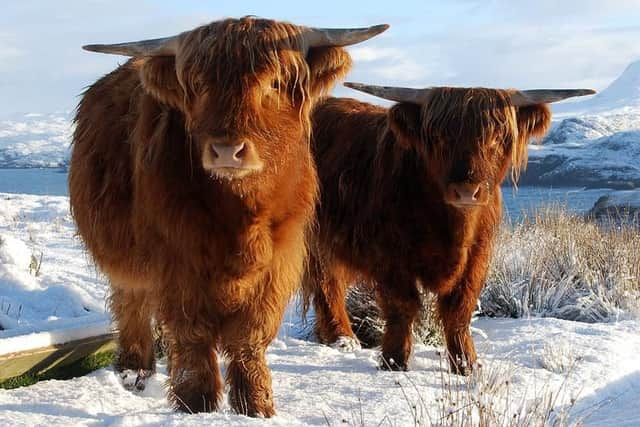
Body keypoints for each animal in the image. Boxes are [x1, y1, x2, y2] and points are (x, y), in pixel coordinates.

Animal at [70, 17, 390, 418]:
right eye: (199, 86)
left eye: (274, 83)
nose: (226, 150)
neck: (241, 218)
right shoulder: (177, 262)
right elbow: (191, 334)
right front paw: (196, 404)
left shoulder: (278, 263)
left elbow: (250, 335)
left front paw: (257, 405)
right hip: (125, 257)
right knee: (131, 302)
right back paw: (135, 371)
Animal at [304, 83, 596, 374]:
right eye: (439, 136)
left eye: (497, 136)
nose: (467, 191)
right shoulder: (390, 258)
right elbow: (402, 306)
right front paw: (394, 361)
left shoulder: (477, 257)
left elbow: (459, 309)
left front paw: (466, 364)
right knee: (327, 284)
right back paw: (343, 339)